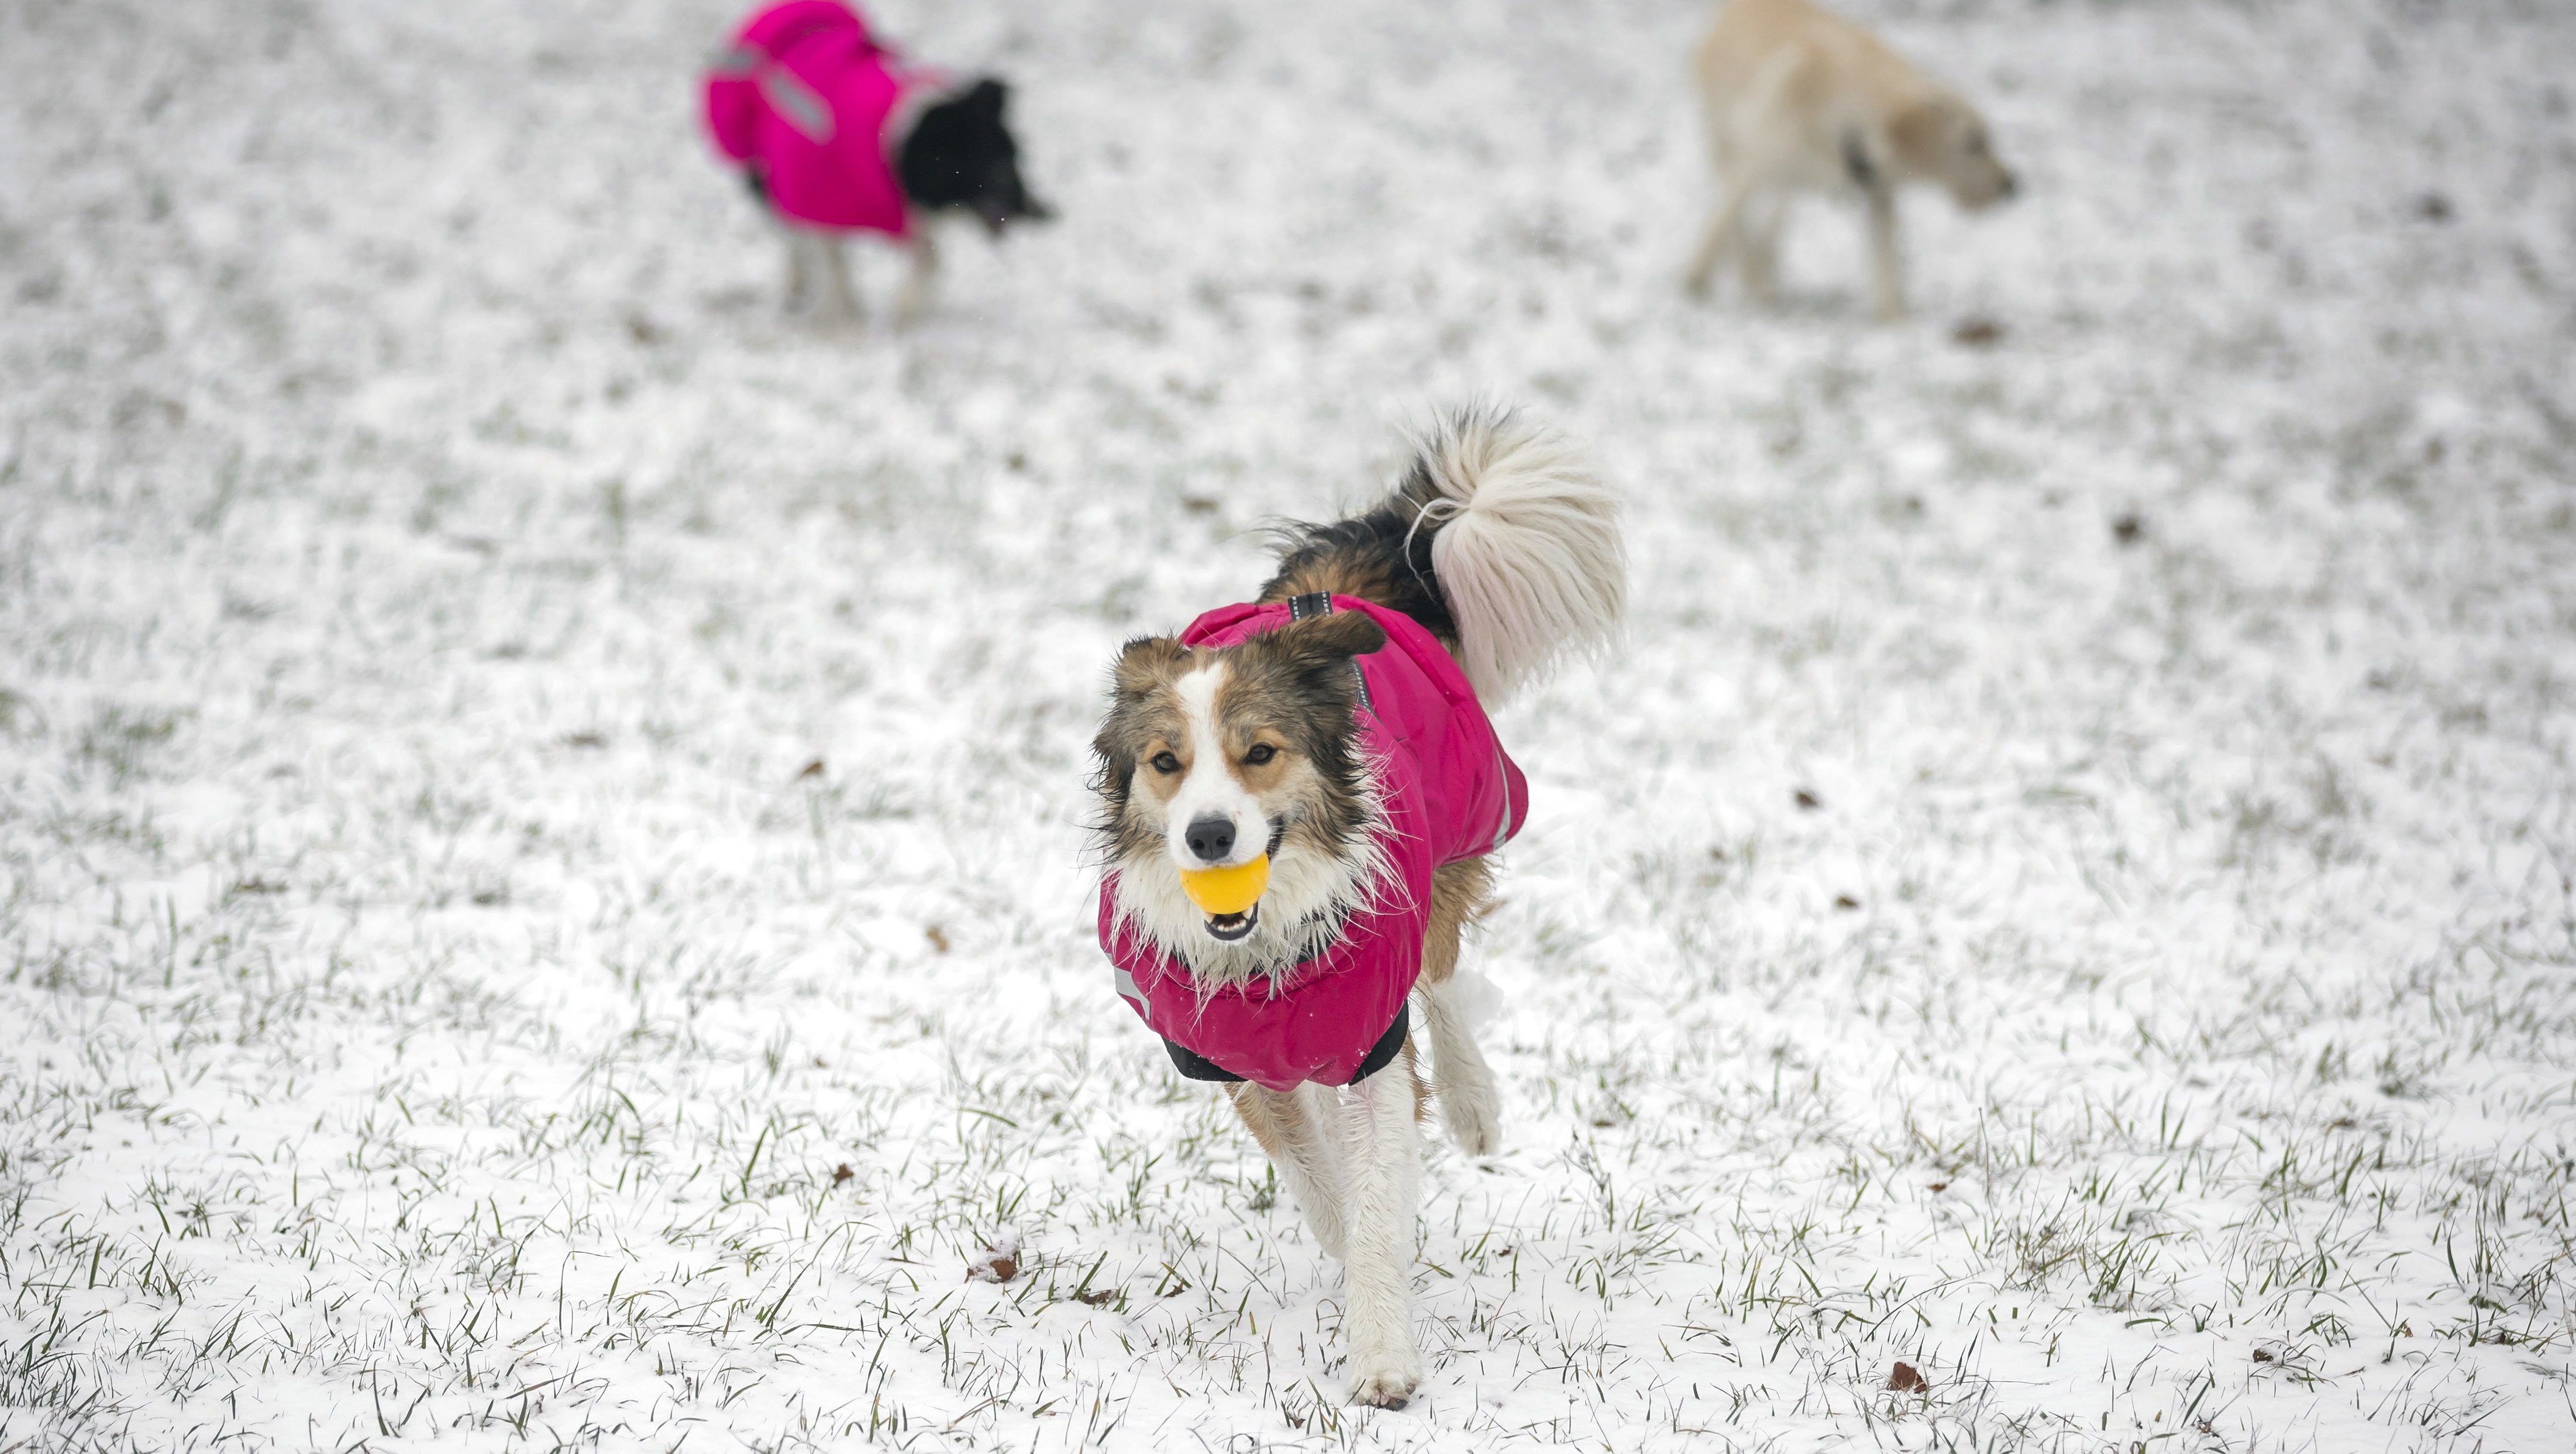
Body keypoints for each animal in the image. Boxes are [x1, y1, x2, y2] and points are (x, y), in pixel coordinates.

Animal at [705, 1, 1046, 323]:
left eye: (1019, 158)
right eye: (998, 169)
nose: (1043, 213)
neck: (898, 148)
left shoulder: (906, 214)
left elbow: (927, 259)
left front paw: (904, 310)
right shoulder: (814, 202)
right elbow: (831, 262)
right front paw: (842, 320)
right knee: (793, 242)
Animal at [1092, 410, 1617, 1412]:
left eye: (1259, 752)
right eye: (1167, 763)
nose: (1210, 836)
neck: (1268, 952)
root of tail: (1328, 595)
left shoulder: (1374, 1038)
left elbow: (1375, 1192)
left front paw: (1382, 1357)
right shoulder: (1231, 1058)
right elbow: (1320, 1182)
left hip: (1449, 849)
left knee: (1442, 979)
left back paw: (1473, 1104)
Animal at [1679, 0, 2019, 321]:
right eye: (1973, 143)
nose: (2011, 186)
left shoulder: (1879, 191)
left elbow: (1886, 260)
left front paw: (1892, 317)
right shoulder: (1750, 167)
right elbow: (1725, 223)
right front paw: (1701, 278)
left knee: (1776, 215)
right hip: (1725, 142)